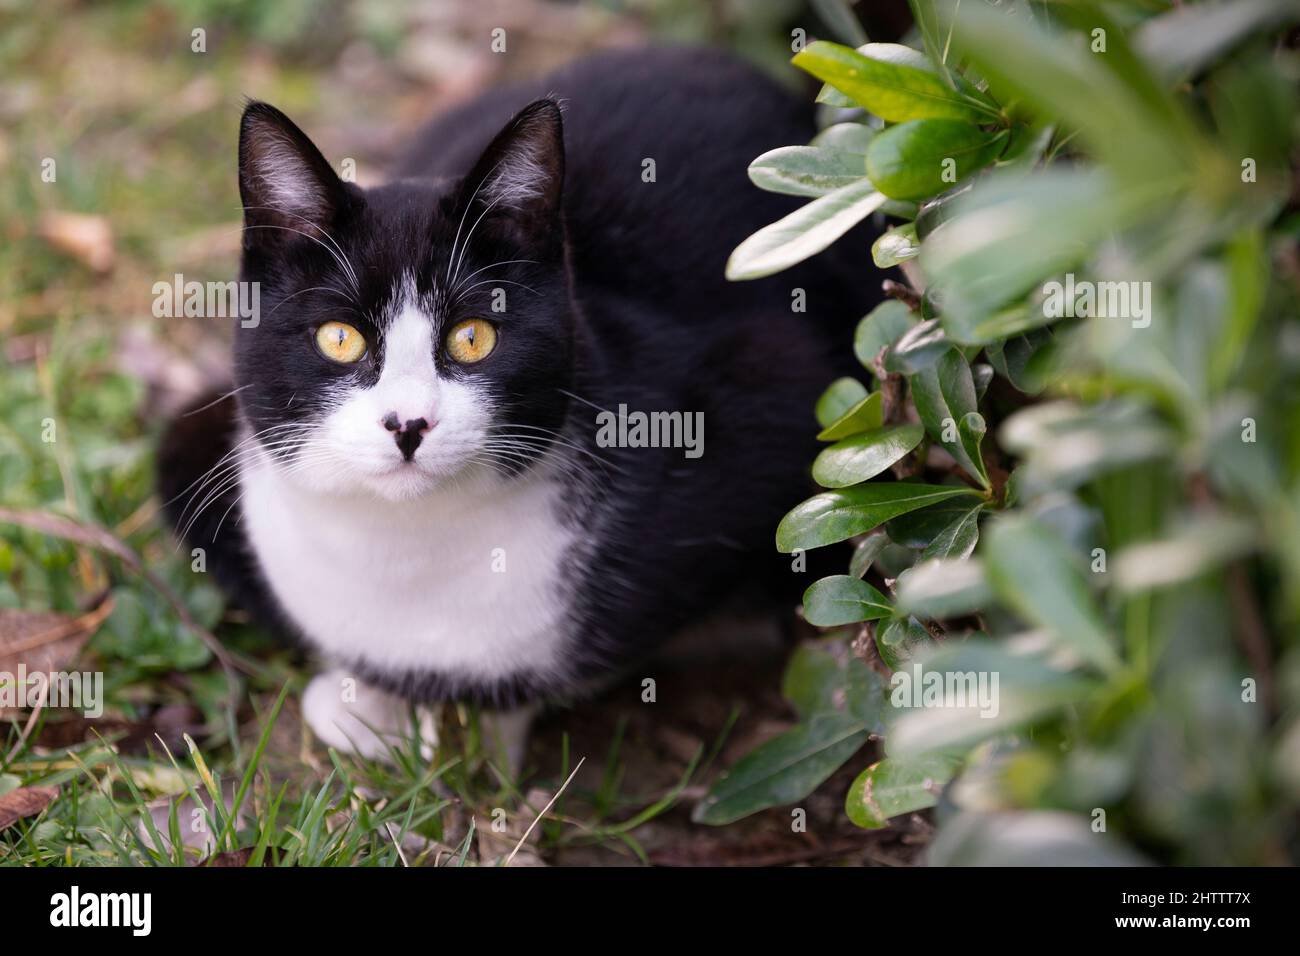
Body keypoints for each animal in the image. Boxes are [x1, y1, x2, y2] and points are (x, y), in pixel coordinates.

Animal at [157, 44, 878, 764]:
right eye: (340, 338)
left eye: (473, 337)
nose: (408, 424)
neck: (409, 546)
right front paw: (368, 708)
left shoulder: (771, 390)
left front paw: (477, 732)